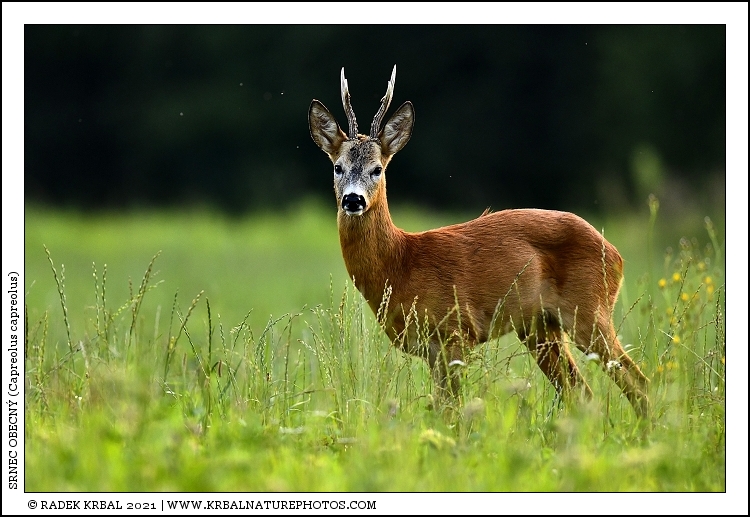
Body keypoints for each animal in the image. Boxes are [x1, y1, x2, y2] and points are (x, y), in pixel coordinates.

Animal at [308, 65, 650, 418]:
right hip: (540, 327)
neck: (401, 264)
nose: (353, 200)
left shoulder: (458, 331)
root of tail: (615, 254)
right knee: (581, 391)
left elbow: (452, 412)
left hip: (589, 308)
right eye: (338, 167)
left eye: (377, 169)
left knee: (636, 380)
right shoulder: (434, 350)